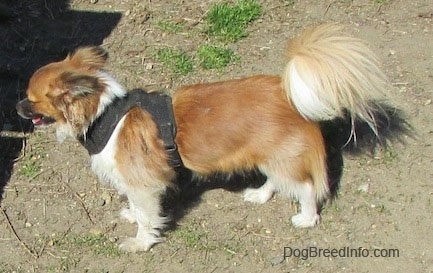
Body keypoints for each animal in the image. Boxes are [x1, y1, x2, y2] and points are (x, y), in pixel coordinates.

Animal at [16, 24, 388, 252]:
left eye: (31, 100)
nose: (16, 107)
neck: (104, 114)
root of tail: (287, 92)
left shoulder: (143, 182)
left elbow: (148, 216)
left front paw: (140, 242)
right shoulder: (134, 181)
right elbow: (137, 207)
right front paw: (132, 216)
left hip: (284, 158)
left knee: (307, 188)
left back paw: (307, 219)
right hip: (269, 157)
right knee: (277, 181)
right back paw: (259, 195)